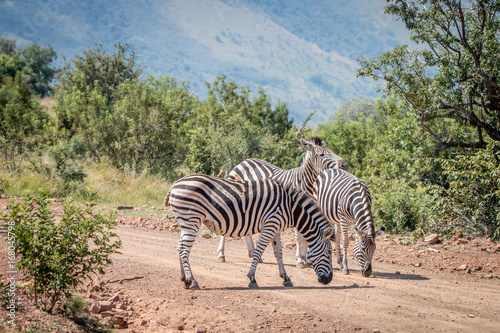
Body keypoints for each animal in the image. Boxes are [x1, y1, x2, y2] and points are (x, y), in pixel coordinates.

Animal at [166, 174, 334, 288]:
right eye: (329, 253)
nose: (329, 280)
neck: (290, 207)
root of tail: (175, 184)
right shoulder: (270, 225)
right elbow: (258, 252)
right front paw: (252, 278)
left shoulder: (276, 228)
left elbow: (279, 253)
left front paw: (286, 278)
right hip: (191, 220)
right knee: (184, 250)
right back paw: (192, 281)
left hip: (185, 223)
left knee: (179, 248)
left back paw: (184, 279)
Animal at [217, 136, 350, 266]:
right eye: (321, 155)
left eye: (332, 151)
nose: (345, 165)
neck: (306, 183)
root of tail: (245, 161)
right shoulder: (297, 209)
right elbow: (299, 237)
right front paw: (300, 259)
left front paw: (306, 259)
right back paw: (221, 255)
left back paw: (253, 253)